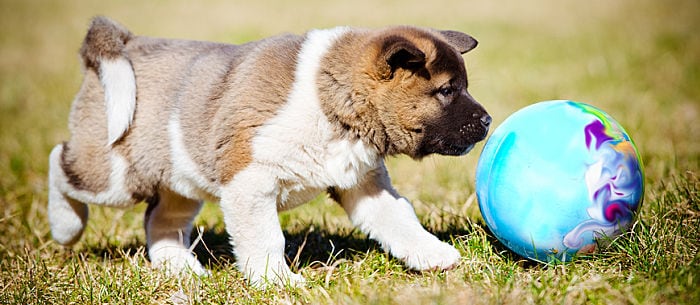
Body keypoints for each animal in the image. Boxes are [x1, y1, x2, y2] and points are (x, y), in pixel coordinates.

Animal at [47, 16, 492, 284]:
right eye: (447, 90)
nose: (488, 121)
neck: (331, 101)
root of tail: (126, 43)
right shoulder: (249, 182)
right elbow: (266, 238)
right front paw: (275, 281)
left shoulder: (363, 184)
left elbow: (400, 221)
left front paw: (432, 255)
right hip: (115, 178)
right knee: (59, 162)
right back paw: (65, 226)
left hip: (179, 181)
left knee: (160, 222)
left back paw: (181, 269)